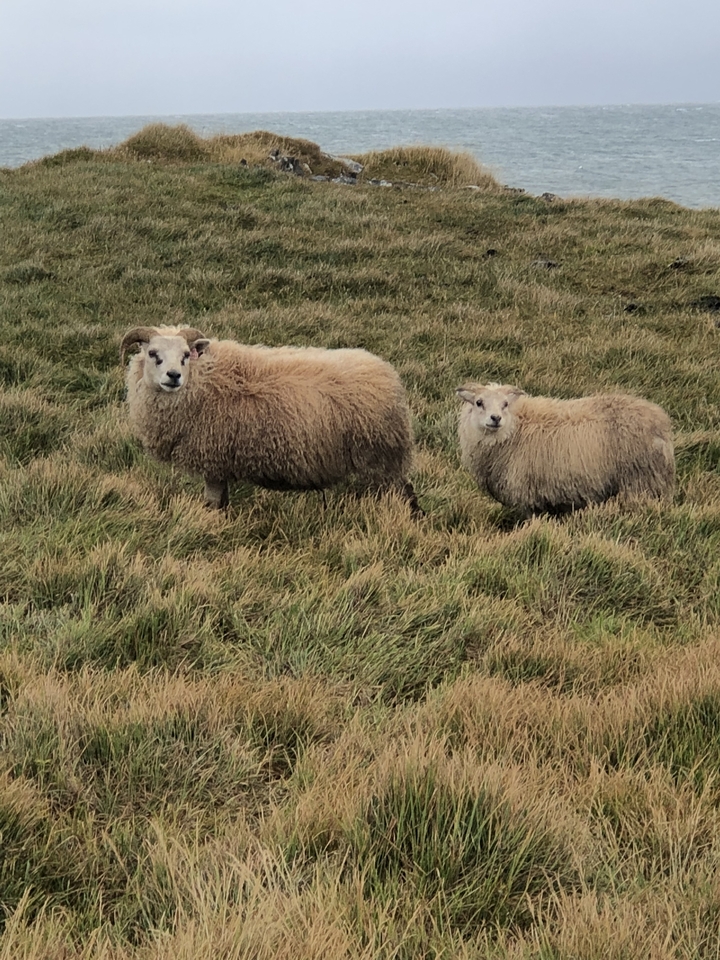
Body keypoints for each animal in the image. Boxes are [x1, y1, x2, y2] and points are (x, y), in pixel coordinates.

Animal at [120, 325, 421, 513]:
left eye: (185, 355)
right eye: (152, 354)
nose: (174, 376)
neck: (203, 380)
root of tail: (388, 375)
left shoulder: (213, 456)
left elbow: (212, 503)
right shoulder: (220, 461)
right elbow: (222, 502)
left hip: (381, 456)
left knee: (405, 493)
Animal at [456, 381, 675, 518]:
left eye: (505, 404)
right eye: (479, 402)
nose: (496, 418)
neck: (515, 429)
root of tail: (660, 419)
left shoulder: (527, 493)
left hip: (641, 480)